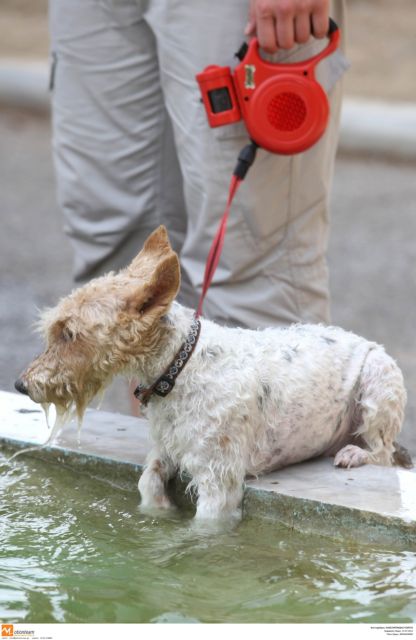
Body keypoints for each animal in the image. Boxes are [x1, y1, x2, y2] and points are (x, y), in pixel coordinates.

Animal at [15, 225, 410, 520]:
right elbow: (148, 483)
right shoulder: (165, 451)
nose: (21, 384)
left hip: (380, 383)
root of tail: (365, 339)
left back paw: (354, 454)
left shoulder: (218, 478)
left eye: (69, 333)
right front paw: (159, 513)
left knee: (383, 451)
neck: (179, 366)